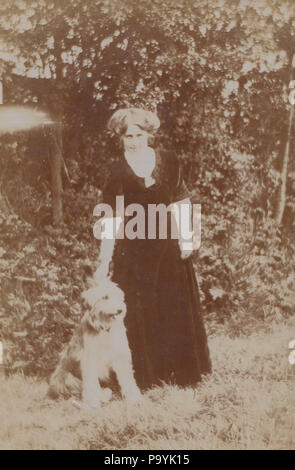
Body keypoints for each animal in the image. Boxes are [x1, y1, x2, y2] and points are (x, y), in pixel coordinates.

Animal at [47, 278, 142, 410]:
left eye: (119, 296)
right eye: (105, 297)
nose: (120, 310)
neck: (105, 330)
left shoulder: (120, 357)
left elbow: (128, 379)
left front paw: (135, 399)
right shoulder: (89, 361)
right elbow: (91, 385)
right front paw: (92, 405)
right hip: (66, 378)